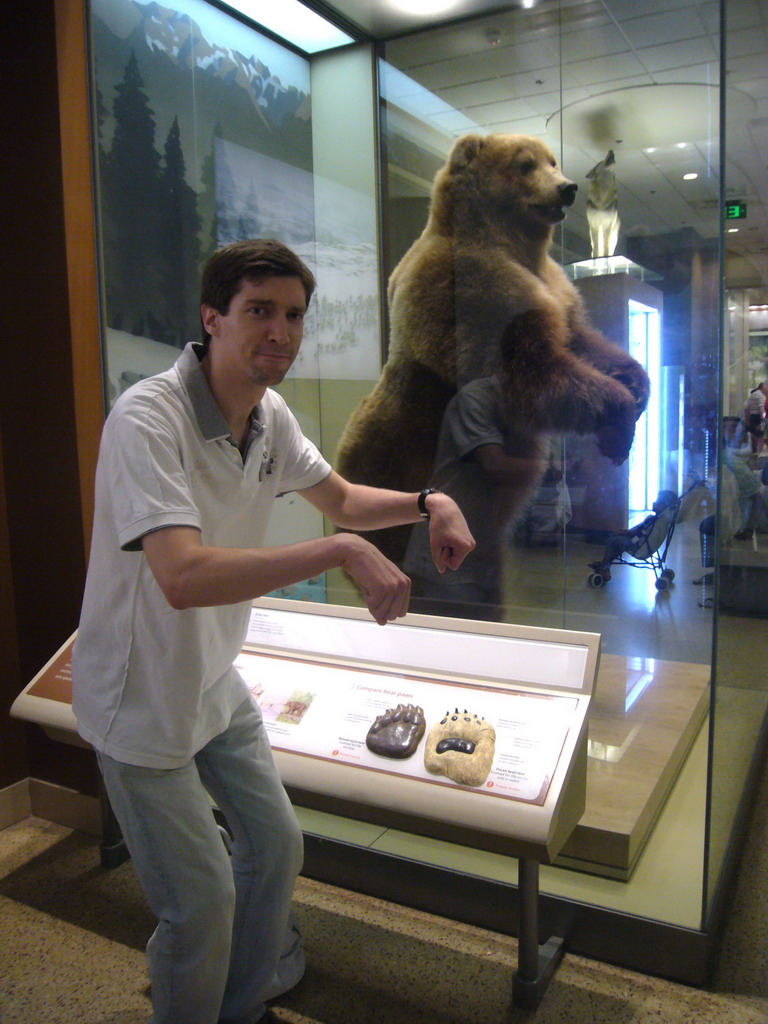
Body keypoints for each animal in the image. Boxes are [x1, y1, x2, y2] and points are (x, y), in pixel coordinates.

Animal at [335, 132, 651, 561]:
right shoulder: (478, 289)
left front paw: (636, 383)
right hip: (393, 470)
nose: (566, 188)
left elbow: (579, 341)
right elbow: (533, 371)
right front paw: (619, 427)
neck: (512, 242)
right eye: (525, 164)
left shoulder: (555, 289)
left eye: (552, 161)